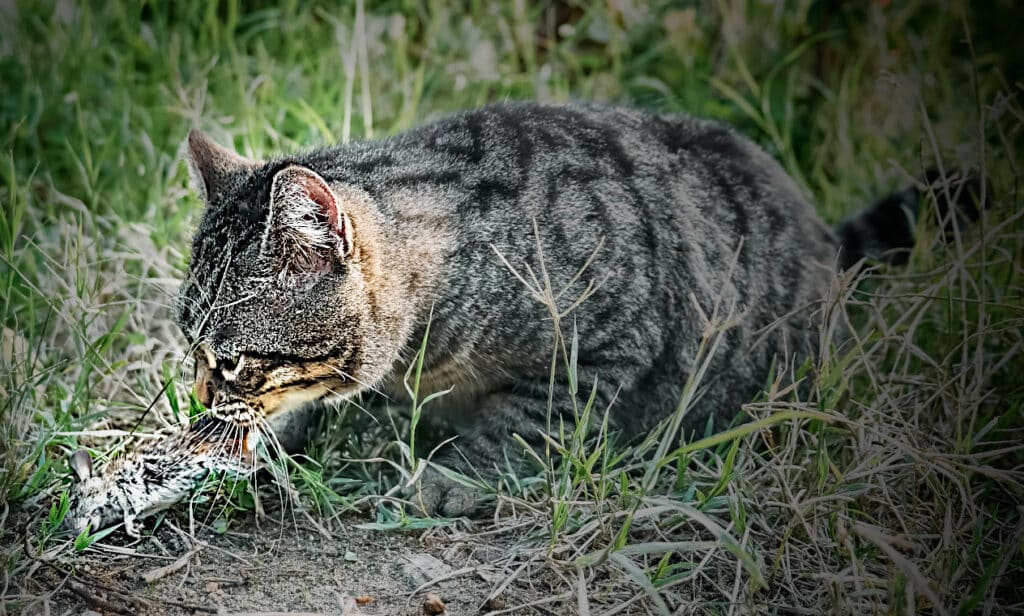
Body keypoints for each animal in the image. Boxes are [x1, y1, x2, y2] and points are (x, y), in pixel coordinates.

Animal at [61, 100, 958, 528]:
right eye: (190, 347)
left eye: (233, 359)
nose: (202, 394)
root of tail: (821, 236)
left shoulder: (604, 338)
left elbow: (526, 422)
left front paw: (451, 477)